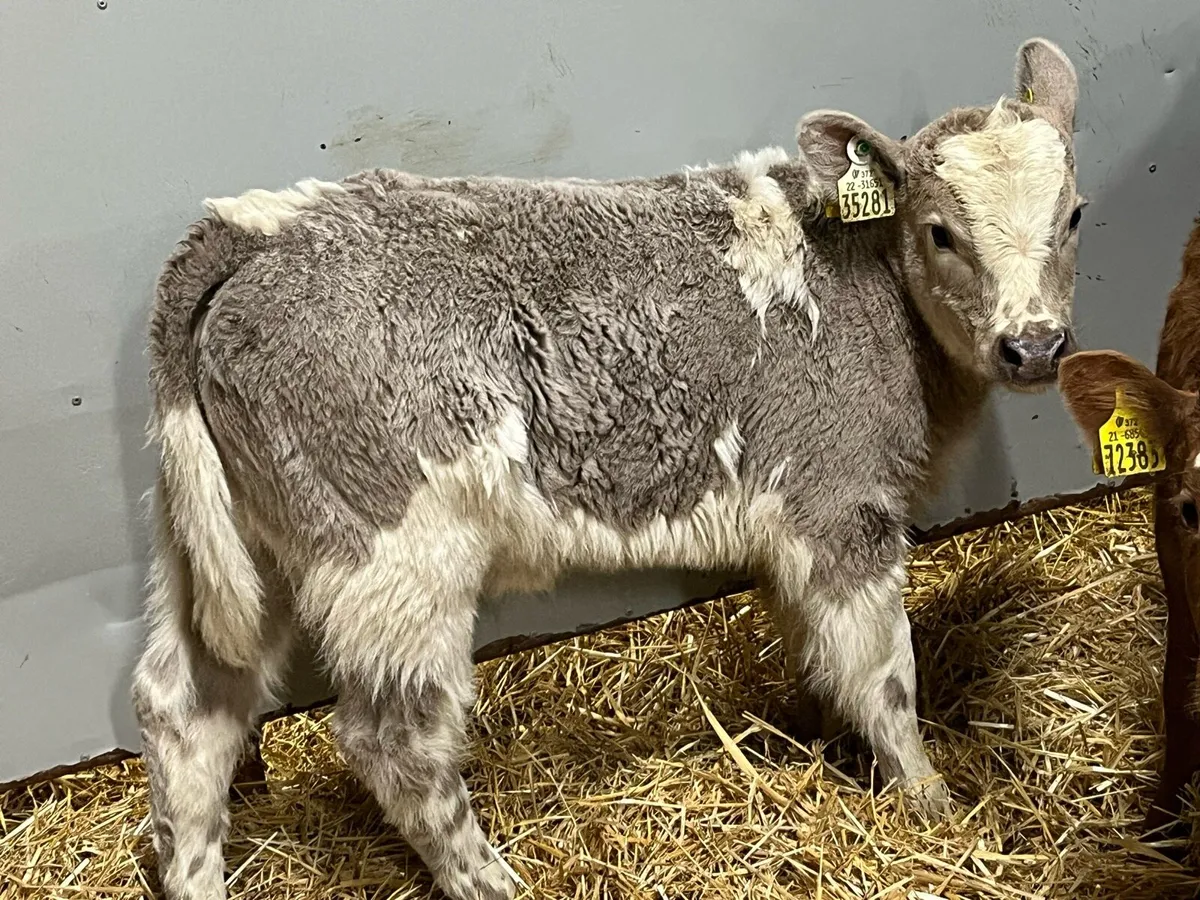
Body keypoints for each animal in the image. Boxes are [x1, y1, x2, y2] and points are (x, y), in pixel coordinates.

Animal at [133, 38, 1082, 900]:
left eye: (1072, 216)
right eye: (941, 232)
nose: (1034, 344)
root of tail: (261, 227)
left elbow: (815, 649)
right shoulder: (840, 503)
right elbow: (883, 674)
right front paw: (930, 803)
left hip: (236, 545)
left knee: (186, 709)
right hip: (396, 554)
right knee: (394, 738)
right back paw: (492, 881)